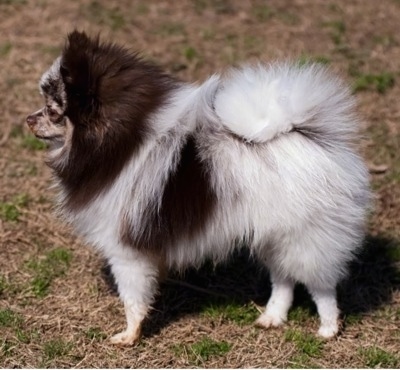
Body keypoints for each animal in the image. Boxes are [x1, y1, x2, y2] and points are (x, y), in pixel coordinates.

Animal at [26, 30, 370, 346]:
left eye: (54, 110)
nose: (28, 119)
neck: (118, 144)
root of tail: (299, 134)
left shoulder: (126, 252)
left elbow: (132, 299)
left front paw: (129, 335)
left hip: (304, 237)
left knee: (320, 286)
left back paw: (328, 328)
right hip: (274, 236)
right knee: (283, 279)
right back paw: (273, 316)